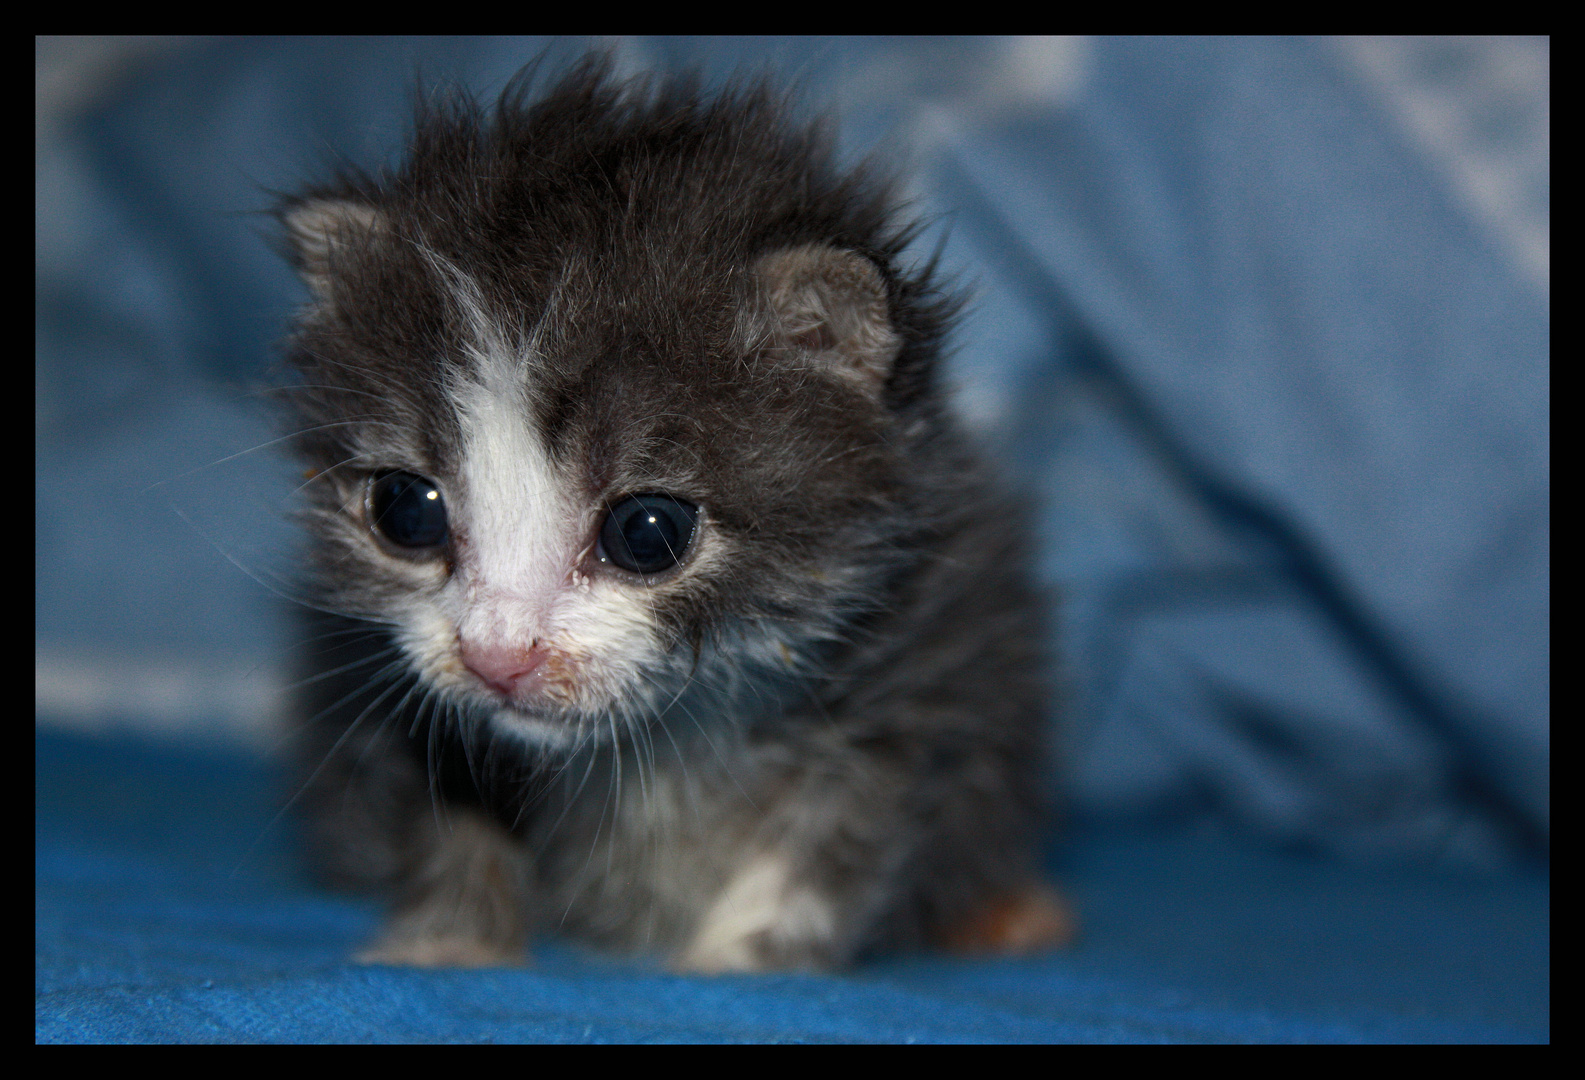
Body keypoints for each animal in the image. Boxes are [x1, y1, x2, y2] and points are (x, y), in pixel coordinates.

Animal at [278, 56, 1071, 970]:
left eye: (646, 533)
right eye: (405, 511)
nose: (495, 658)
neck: (662, 744)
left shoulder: (925, 668)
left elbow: (834, 838)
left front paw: (737, 961)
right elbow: (451, 809)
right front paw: (447, 940)